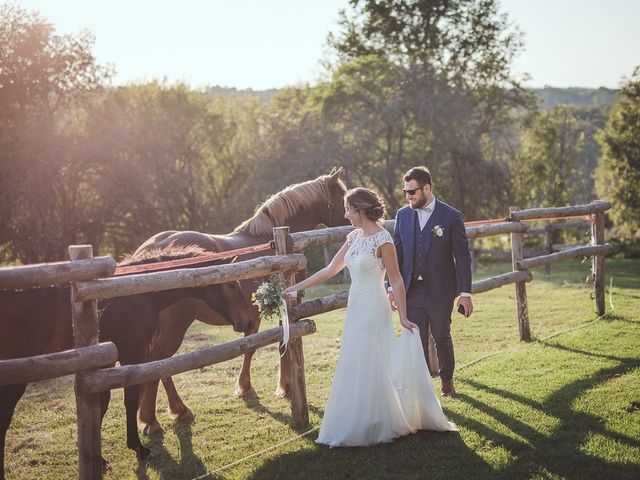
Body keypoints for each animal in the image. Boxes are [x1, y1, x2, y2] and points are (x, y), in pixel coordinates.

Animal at [0, 246, 255, 478]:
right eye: (232, 285)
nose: (247, 321)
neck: (137, 295)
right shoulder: (131, 354)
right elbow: (130, 399)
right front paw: (139, 448)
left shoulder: (103, 364)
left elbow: (102, 404)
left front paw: (100, 458)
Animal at [132, 168, 348, 436]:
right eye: (342, 197)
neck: (275, 240)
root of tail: (151, 249)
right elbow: (263, 346)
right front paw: (269, 387)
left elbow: (258, 345)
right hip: (175, 327)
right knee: (160, 364)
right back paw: (154, 419)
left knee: (160, 366)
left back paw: (175, 411)